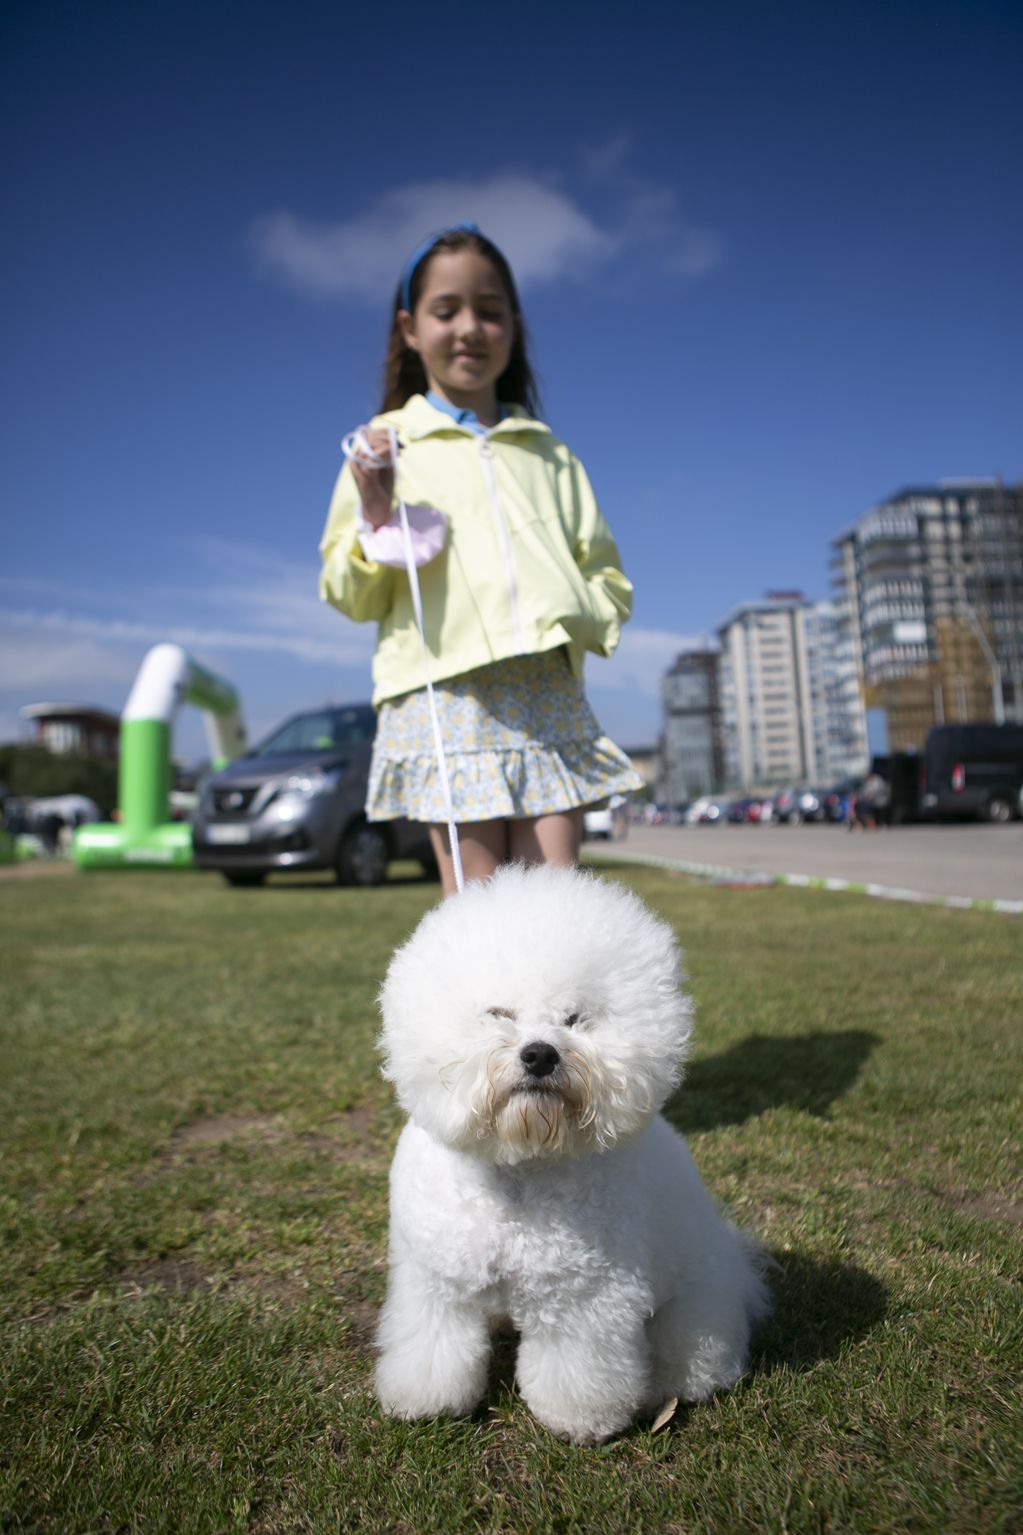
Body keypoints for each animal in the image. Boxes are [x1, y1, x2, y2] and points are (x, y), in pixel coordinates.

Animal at [373, 871, 764, 1442]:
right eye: (499, 1014)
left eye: (576, 1018)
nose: (540, 1054)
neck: (520, 1169)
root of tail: (737, 1265)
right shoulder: (437, 1285)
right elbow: (433, 1346)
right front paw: (424, 1402)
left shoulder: (585, 1300)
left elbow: (576, 1369)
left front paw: (580, 1422)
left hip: (694, 1304)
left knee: (697, 1353)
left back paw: (673, 1386)